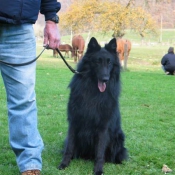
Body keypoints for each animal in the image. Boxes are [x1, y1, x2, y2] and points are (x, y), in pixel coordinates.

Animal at [58, 37, 128, 175]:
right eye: (97, 62)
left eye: (109, 63)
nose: (105, 79)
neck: (94, 92)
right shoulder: (74, 122)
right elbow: (69, 148)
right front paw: (64, 163)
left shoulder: (103, 127)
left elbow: (100, 152)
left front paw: (98, 169)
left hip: (118, 137)